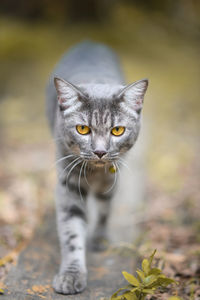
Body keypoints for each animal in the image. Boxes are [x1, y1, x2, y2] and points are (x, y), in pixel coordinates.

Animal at [45, 41, 148, 294]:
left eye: (117, 130)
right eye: (82, 129)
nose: (100, 151)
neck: (94, 172)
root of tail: (88, 42)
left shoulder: (111, 179)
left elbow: (104, 210)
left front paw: (99, 238)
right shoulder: (68, 184)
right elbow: (71, 231)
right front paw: (71, 275)